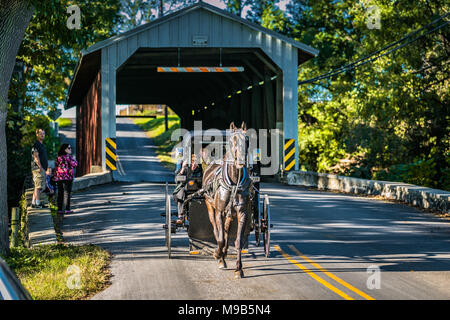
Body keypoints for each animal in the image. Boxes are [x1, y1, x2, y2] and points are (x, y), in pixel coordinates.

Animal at [201, 122, 253, 278]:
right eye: (232, 140)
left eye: (247, 140)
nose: (240, 160)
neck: (234, 182)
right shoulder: (219, 211)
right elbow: (221, 238)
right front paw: (218, 255)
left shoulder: (242, 213)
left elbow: (238, 241)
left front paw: (238, 269)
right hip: (210, 206)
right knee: (216, 230)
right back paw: (220, 255)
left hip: (230, 214)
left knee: (226, 229)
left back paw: (223, 253)